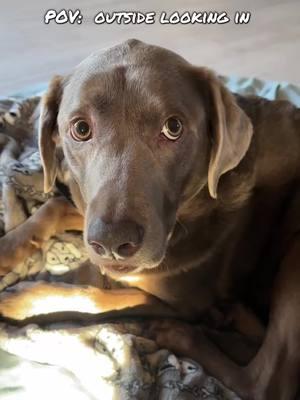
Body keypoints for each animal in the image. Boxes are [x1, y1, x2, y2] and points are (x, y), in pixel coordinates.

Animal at [0, 38, 300, 400]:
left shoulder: (186, 303)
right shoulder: (88, 209)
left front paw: (20, 300)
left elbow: (101, 297)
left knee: (265, 381)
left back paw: (179, 334)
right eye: (81, 128)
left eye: (173, 127)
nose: (112, 242)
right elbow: (55, 206)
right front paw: (7, 250)